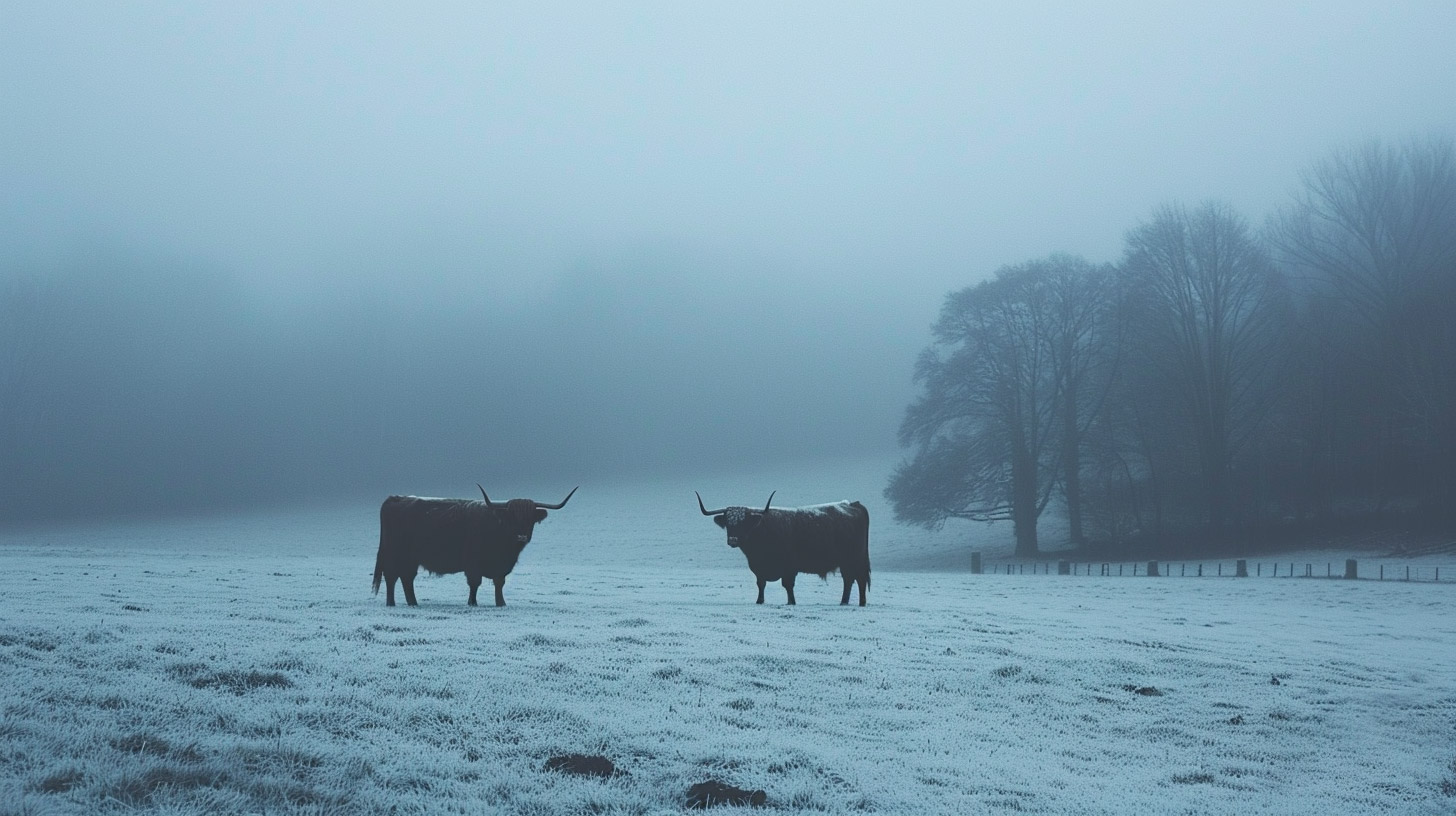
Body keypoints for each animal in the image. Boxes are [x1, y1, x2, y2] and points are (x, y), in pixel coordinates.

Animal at [369, 483, 573, 606]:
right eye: (512, 517)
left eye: (530, 519)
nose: (522, 536)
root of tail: (396, 498)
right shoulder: (473, 564)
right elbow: (475, 583)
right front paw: (472, 603)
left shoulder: (501, 567)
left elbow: (499, 583)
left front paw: (501, 603)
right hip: (395, 554)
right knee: (392, 576)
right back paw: (391, 603)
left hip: (410, 559)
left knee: (406, 578)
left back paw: (413, 603)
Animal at [690, 489, 861, 606]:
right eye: (729, 523)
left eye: (743, 523)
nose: (733, 540)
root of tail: (850, 505)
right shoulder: (758, 568)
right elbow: (761, 584)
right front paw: (760, 601)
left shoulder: (789, 567)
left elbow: (787, 585)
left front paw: (791, 602)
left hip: (850, 560)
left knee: (849, 580)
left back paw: (843, 602)